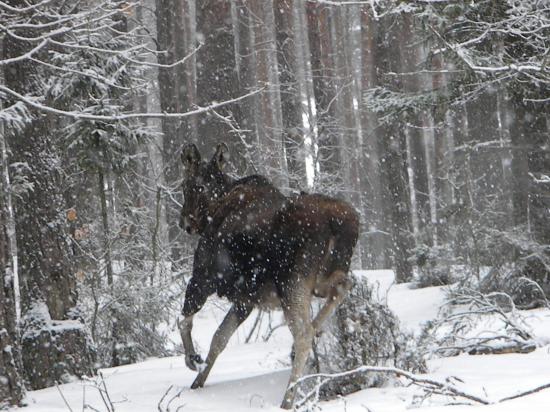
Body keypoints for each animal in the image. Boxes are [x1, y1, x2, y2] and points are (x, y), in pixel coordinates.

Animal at [178, 143, 362, 408]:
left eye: (189, 185)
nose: (185, 222)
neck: (217, 205)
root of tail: (343, 223)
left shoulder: (204, 277)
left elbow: (185, 321)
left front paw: (192, 360)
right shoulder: (245, 300)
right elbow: (219, 338)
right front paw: (198, 381)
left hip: (292, 284)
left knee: (303, 333)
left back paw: (288, 398)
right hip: (323, 279)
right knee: (344, 286)